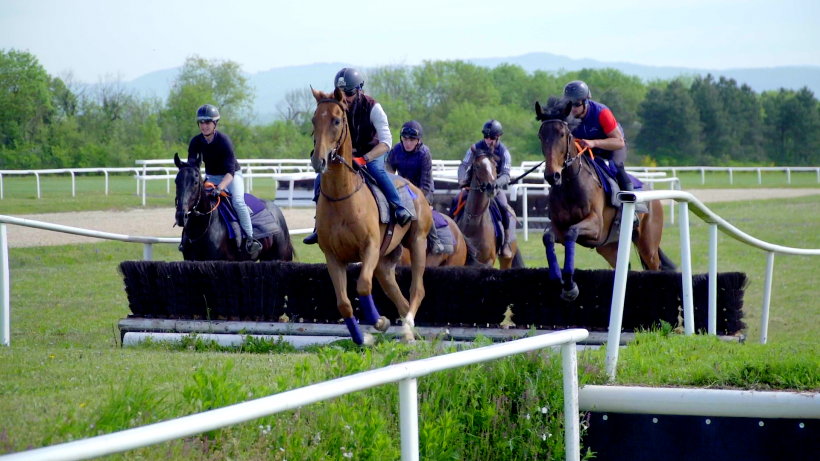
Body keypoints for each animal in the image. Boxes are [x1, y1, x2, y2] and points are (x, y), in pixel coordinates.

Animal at [310, 87, 436, 344]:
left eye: (336, 120)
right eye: (313, 120)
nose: (319, 160)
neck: (342, 197)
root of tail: (416, 189)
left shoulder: (368, 248)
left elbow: (363, 286)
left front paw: (380, 322)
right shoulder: (333, 257)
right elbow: (344, 304)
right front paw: (363, 338)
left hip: (417, 242)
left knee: (416, 290)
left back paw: (408, 325)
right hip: (385, 259)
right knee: (397, 293)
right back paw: (408, 334)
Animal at [536, 95, 676, 300]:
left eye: (562, 134)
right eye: (541, 135)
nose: (551, 175)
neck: (570, 184)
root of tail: (653, 196)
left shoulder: (596, 226)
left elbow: (572, 233)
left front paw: (569, 284)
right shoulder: (559, 226)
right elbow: (548, 237)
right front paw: (557, 278)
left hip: (648, 244)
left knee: (654, 266)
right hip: (608, 246)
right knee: (624, 266)